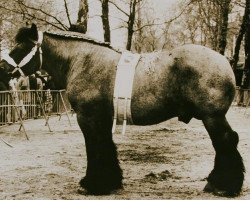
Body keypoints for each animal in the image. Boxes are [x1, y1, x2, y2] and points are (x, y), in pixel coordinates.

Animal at [0, 24, 244, 196]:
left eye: (22, 46)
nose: (3, 69)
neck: (83, 60)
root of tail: (224, 61)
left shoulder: (88, 118)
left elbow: (95, 147)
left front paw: (93, 184)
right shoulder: (103, 118)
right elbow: (106, 146)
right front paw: (110, 181)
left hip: (212, 117)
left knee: (226, 141)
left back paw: (222, 185)